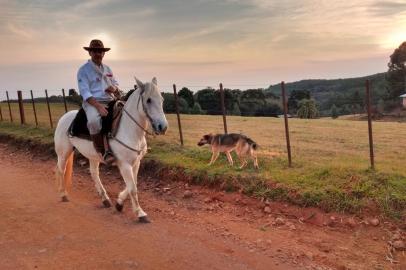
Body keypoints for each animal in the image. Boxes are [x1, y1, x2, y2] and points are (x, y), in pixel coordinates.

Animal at [54, 77, 168, 223]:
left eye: (162, 99)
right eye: (148, 100)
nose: (162, 127)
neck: (129, 129)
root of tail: (65, 117)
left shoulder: (136, 162)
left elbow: (133, 184)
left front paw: (119, 203)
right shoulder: (124, 165)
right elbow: (132, 188)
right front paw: (140, 213)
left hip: (93, 155)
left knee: (94, 173)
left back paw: (105, 199)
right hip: (64, 152)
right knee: (60, 170)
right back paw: (63, 194)